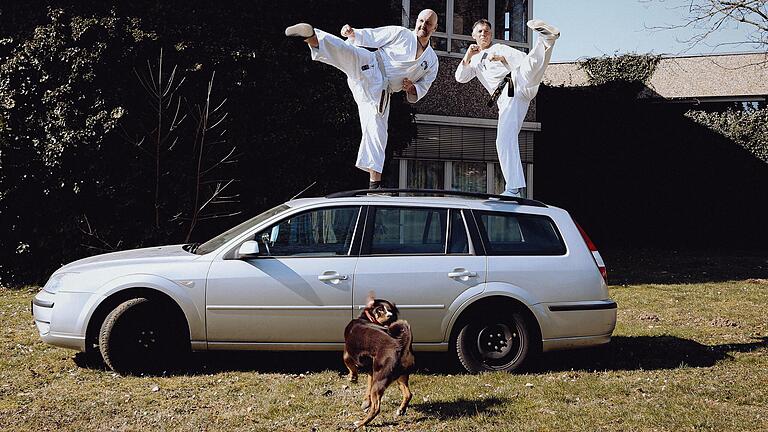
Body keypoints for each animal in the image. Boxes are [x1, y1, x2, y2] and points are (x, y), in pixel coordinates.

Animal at [342, 294, 414, 428]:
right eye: (380, 309)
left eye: (390, 310)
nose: (390, 315)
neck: (365, 318)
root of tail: (400, 344)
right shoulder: (371, 370)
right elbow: (368, 387)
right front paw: (366, 401)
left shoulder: (347, 353)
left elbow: (349, 365)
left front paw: (352, 377)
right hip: (399, 376)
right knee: (408, 394)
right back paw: (401, 410)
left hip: (380, 379)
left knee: (376, 408)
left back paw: (360, 423)